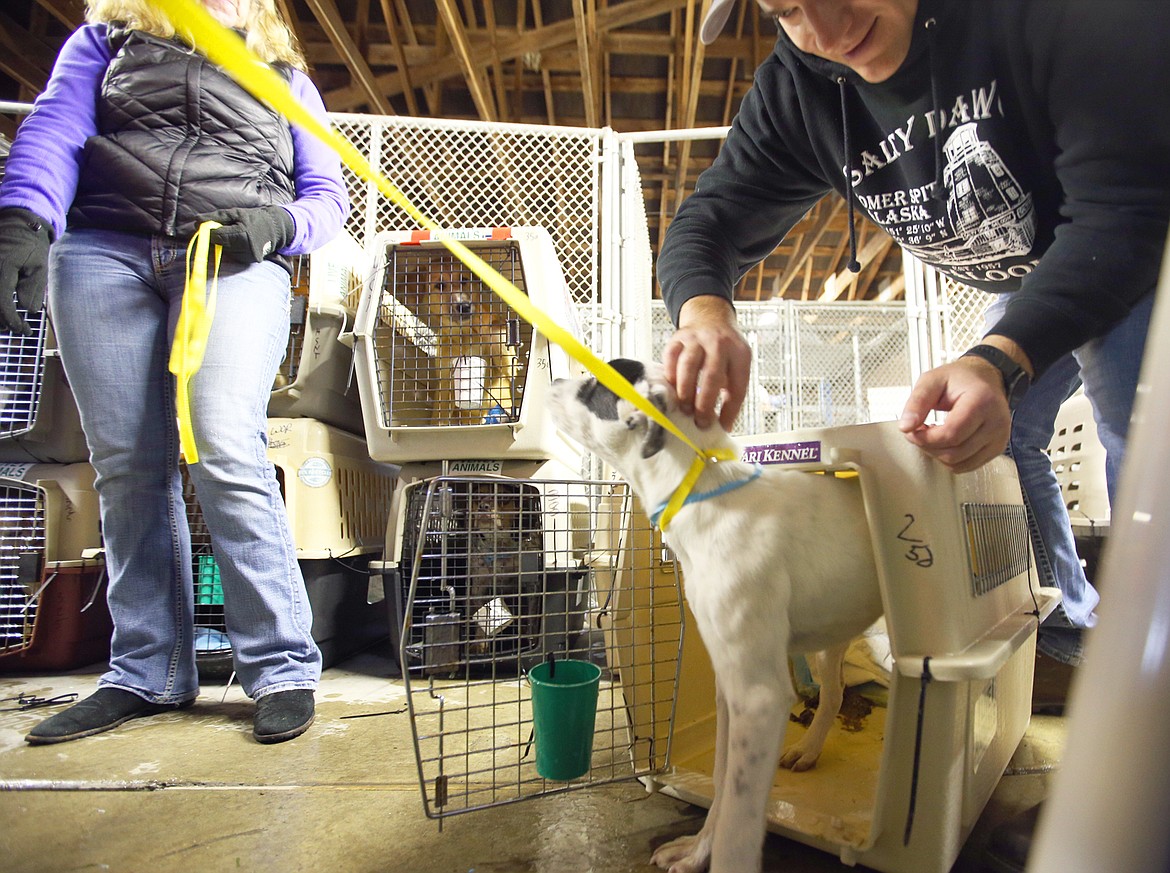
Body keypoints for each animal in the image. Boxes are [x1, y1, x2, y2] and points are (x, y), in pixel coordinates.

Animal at [372, 239, 533, 425]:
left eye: (464, 280)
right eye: (440, 285)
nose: (464, 306)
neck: (464, 334)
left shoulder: (505, 369)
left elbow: (499, 341)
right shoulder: (446, 381)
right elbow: (440, 414)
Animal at [545, 358, 879, 870]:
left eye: (592, 384)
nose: (552, 380)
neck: (708, 495)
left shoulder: (759, 699)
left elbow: (738, 824)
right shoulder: (731, 687)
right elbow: (723, 786)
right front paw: (697, 848)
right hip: (830, 633)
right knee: (835, 692)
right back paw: (808, 749)